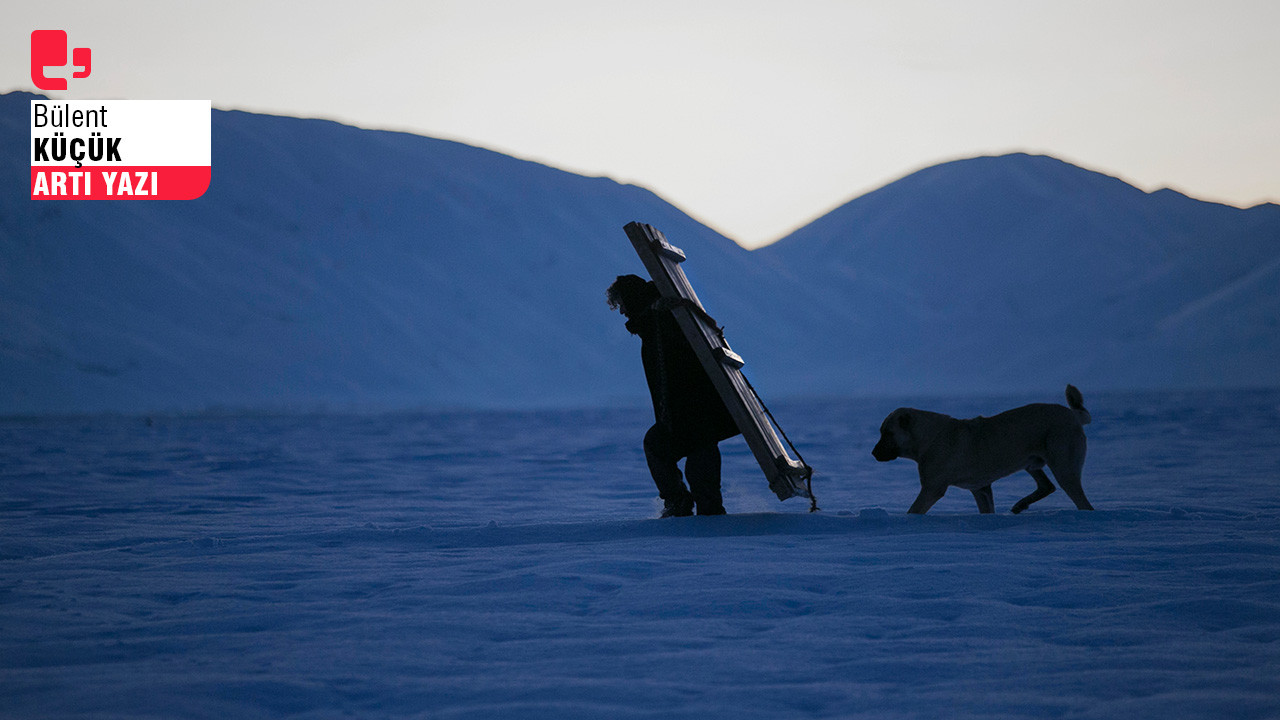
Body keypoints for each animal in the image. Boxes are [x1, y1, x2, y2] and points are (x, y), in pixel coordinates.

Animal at [870, 384, 1090, 512]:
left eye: (887, 433)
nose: (873, 453)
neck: (928, 438)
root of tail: (1072, 415)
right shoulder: (981, 489)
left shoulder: (932, 489)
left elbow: (914, 510)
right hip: (1032, 463)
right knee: (1047, 486)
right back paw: (1020, 505)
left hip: (1064, 468)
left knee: (1082, 502)